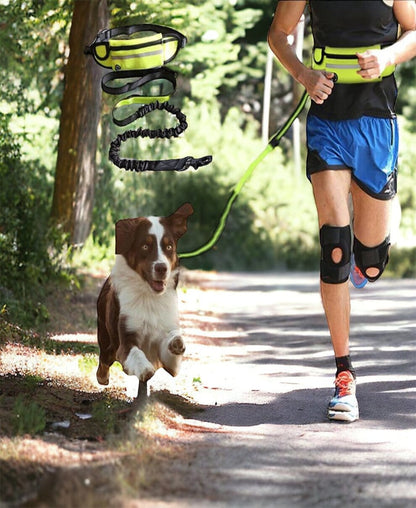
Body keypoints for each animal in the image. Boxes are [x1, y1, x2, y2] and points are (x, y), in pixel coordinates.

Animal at [96, 204, 194, 386]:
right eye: (145, 246)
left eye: (169, 247)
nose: (162, 268)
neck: (150, 297)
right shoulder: (126, 339)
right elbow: (136, 353)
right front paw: (144, 369)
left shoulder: (168, 356)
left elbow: (172, 347)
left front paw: (176, 342)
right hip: (105, 336)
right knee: (104, 358)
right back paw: (103, 377)